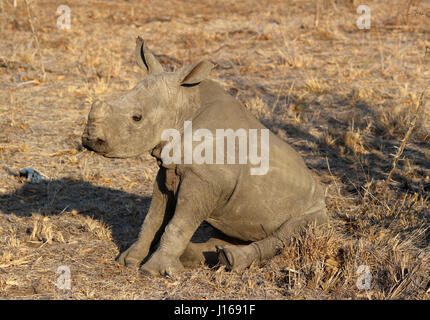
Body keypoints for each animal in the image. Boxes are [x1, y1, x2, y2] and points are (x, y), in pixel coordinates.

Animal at [81, 37, 330, 276]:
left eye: (137, 118)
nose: (89, 140)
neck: (183, 107)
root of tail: (319, 193)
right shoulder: (167, 170)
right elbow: (152, 219)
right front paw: (129, 260)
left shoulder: (206, 180)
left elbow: (177, 225)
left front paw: (152, 271)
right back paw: (204, 255)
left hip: (314, 209)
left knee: (291, 231)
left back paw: (230, 260)